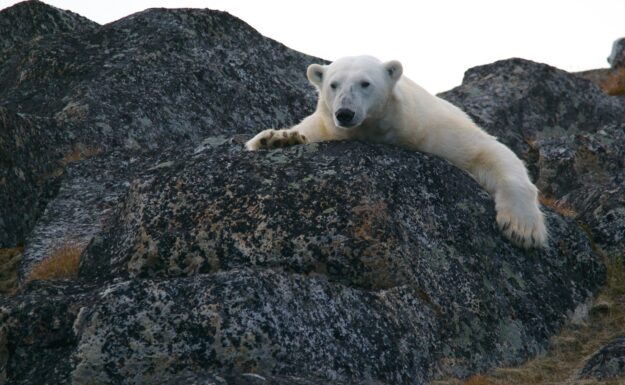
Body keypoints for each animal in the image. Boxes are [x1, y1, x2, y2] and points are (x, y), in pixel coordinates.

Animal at [245, 55, 544, 248]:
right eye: (333, 84)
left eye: (365, 83)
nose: (345, 113)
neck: (378, 128)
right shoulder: (326, 126)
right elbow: (303, 131)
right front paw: (276, 139)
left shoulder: (431, 128)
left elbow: (488, 151)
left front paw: (522, 229)